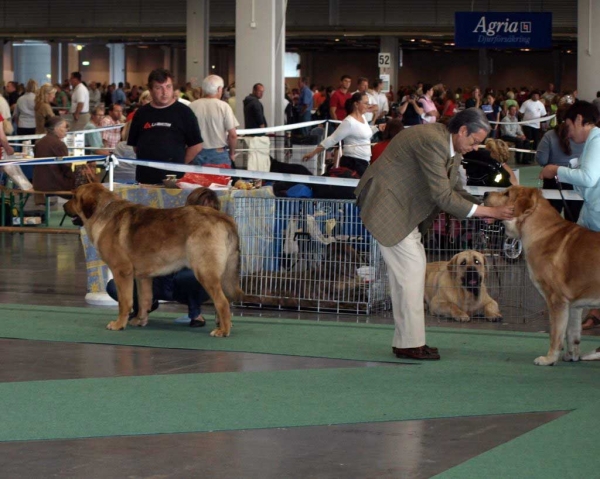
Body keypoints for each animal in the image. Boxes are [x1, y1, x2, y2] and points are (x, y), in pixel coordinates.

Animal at [64, 183, 243, 338]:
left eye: (74, 196)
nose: (64, 206)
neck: (103, 212)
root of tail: (223, 217)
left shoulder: (122, 272)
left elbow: (124, 302)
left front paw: (119, 324)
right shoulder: (143, 277)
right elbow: (144, 300)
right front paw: (140, 320)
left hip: (204, 272)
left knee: (222, 302)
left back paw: (223, 330)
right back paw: (223, 324)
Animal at [486, 186, 600, 366]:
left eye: (506, 194)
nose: (484, 193)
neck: (540, 230)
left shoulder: (556, 299)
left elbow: (556, 334)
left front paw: (549, 359)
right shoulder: (575, 305)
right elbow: (573, 334)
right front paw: (571, 356)